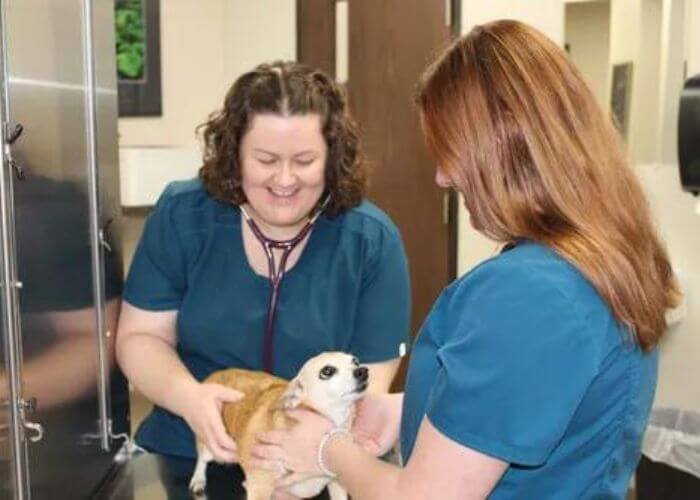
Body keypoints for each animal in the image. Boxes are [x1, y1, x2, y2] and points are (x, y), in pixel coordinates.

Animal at [189, 354, 370, 498]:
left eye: (355, 361)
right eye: (327, 371)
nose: (363, 370)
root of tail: (216, 374)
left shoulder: (337, 484)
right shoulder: (259, 488)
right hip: (213, 447)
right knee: (202, 457)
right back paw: (198, 480)